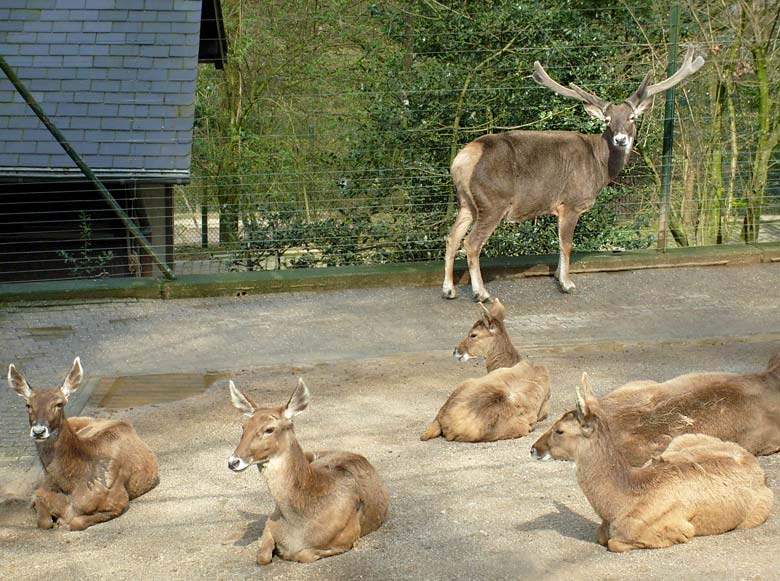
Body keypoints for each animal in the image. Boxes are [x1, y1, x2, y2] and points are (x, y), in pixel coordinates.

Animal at [7, 356, 159, 528]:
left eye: (59, 404)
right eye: (28, 404)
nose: (39, 431)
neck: (72, 486)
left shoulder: (119, 500)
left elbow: (75, 523)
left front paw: (62, 521)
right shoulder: (42, 491)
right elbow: (43, 520)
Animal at [229, 376, 394, 560]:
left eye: (269, 429)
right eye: (243, 427)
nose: (233, 461)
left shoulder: (348, 536)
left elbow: (302, 554)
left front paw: (284, 552)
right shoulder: (270, 522)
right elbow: (262, 557)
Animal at [444, 46, 708, 300]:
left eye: (632, 117)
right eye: (608, 120)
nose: (620, 139)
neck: (600, 167)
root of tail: (462, 160)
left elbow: (561, 244)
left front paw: (560, 278)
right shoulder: (571, 202)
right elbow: (567, 244)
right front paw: (567, 283)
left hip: (466, 202)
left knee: (452, 237)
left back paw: (449, 289)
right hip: (493, 202)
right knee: (471, 242)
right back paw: (481, 292)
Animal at [564, 374, 772, 552]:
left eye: (560, 430)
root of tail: (761, 472)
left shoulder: (677, 529)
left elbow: (615, 543)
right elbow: (602, 535)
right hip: (682, 440)